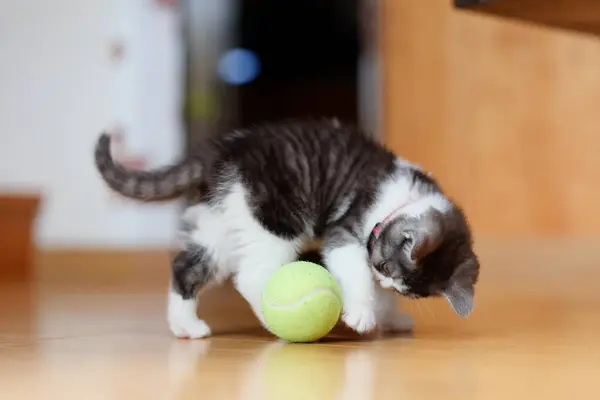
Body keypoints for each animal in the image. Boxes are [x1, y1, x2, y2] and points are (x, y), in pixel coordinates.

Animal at [94, 118, 478, 338]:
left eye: (405, 290)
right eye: (385, 266)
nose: (387, 281)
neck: (405, 198)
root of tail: (225, 150)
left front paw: (389, 316)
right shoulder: (346, 230)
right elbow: (354, 270)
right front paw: (363, 313)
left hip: (224, 220)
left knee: (187, 266)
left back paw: (186, 326)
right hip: (274, 219)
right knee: (249, 275)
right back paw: (270, 318)